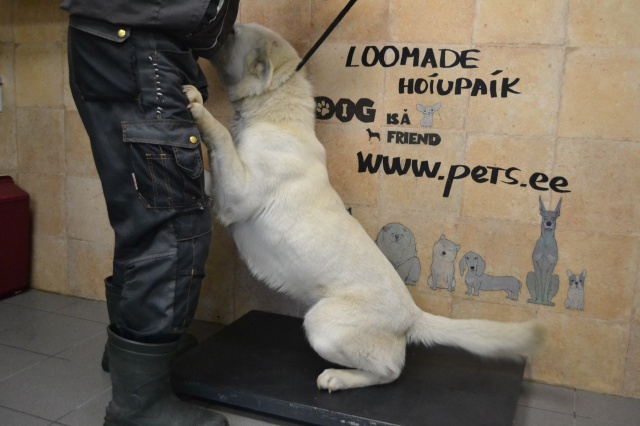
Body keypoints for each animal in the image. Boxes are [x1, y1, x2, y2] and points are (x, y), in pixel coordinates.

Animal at [183, 23, 546, 392]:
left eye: (230, 32)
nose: (211, 35)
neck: (275, 113)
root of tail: (413, 314)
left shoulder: (237, 196)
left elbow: (220, 138)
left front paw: (197, 106)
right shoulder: (226, 191)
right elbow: (210, 172)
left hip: (322, 322)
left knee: (390, 370)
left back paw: (337, 377)